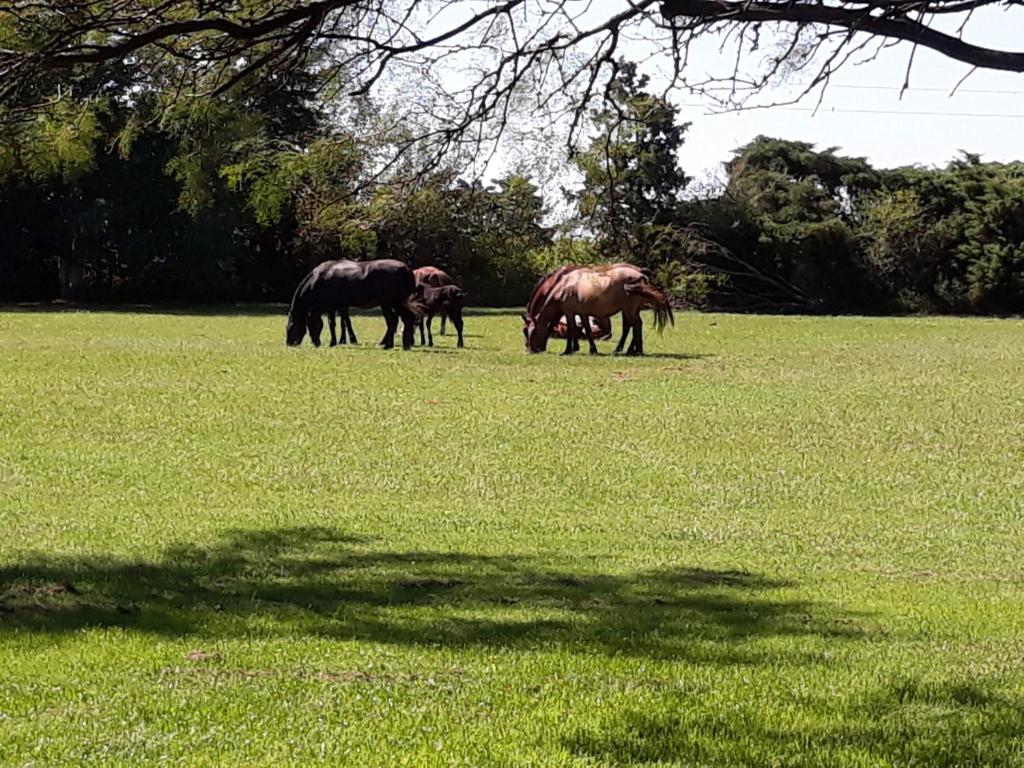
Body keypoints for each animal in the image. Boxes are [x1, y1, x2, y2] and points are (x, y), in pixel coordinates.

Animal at [284, 262, 419, 352]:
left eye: (290, 326)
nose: (289, 343)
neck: (318, 281)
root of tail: (406, 269)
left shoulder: (331, 307)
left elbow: (332, 324)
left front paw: (333, 342)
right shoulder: (338, 306)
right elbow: (340, 323)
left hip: (390, 303)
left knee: (395, 320)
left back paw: (389, 344)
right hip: (395, 303)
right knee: (407, 318)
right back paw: (405, 344)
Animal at [524, 264, 675, 358]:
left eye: (532, 331)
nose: (530, 350)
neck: (564, 285)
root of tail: (640, 274)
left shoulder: (569, 312)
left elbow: (572, 330)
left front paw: (568, 350)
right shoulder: (582, 313)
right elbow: (587, 330)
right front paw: (592, 350)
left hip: (629, 310)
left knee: (635, 325)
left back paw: (635, 351)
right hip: (630, 310)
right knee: (633, 326)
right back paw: (628, 350)